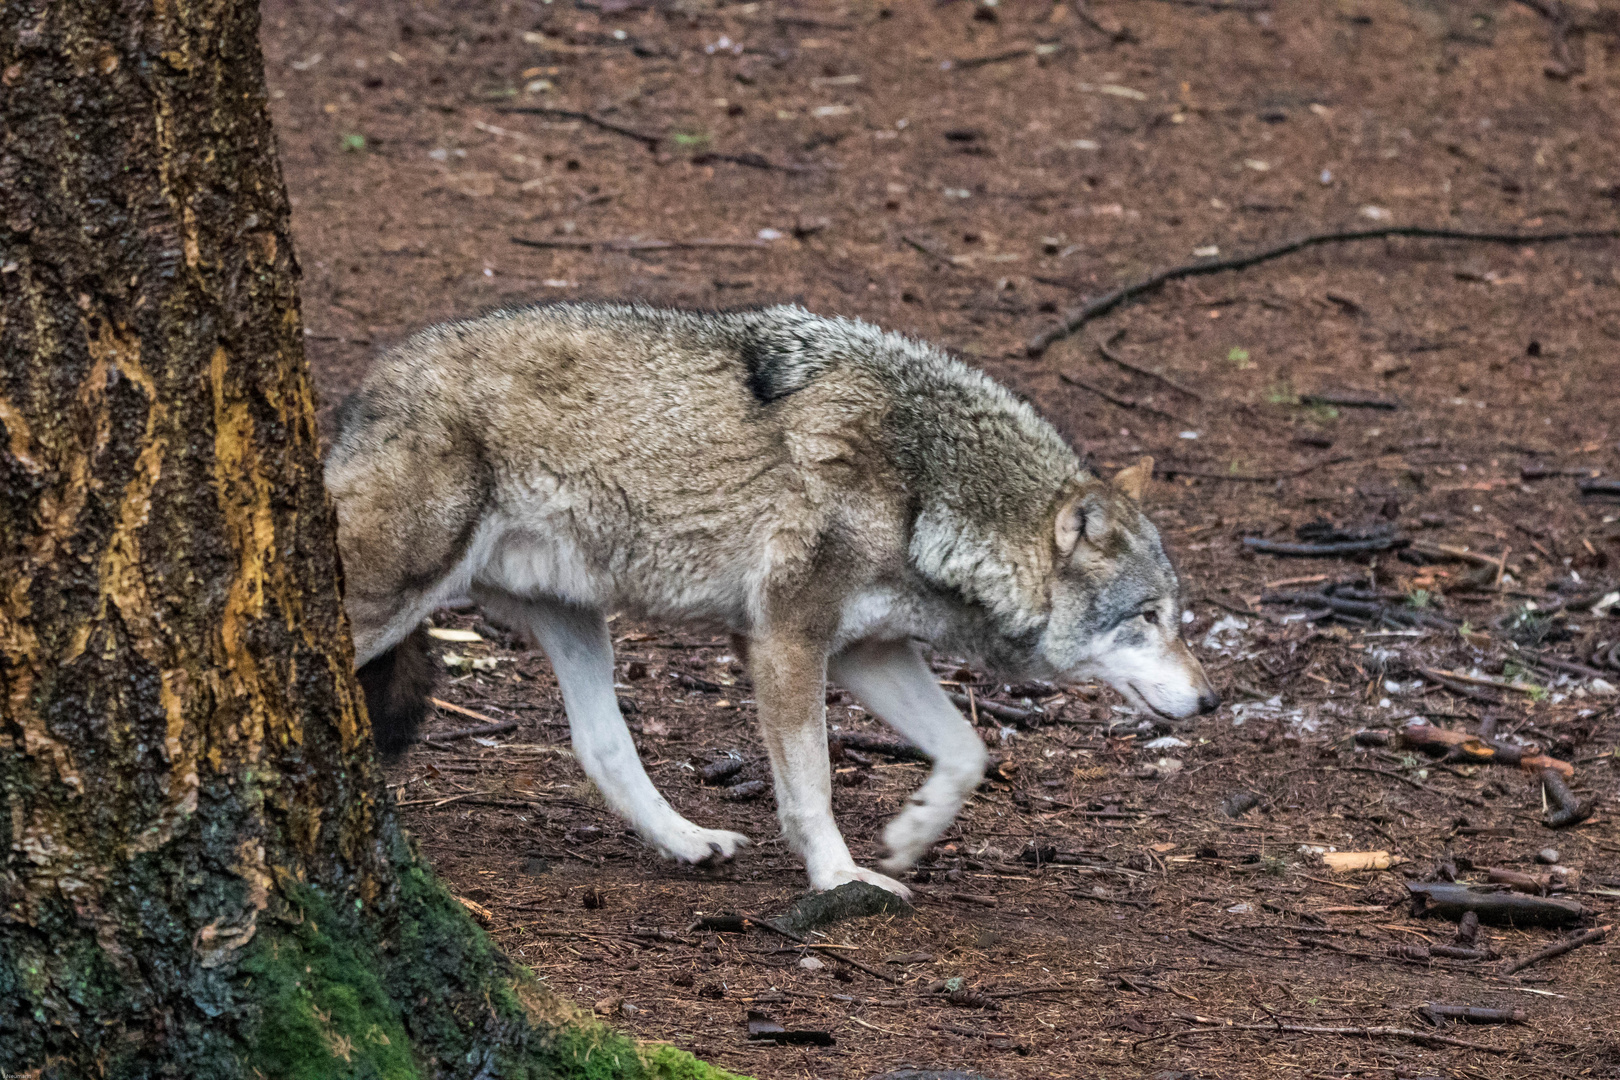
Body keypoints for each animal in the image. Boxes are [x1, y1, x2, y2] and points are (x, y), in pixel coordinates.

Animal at [325, 302, 1218, 893]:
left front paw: (907, 838)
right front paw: (843, 879)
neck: (926, 487)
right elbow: (813, 784)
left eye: (1178, 618)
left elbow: (968, 751)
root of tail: (364, 385)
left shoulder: (867, 650)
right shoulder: (784, 640)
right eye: (1147, 618)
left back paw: (688, 843)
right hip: (388, 601)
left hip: (577, 622)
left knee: (602, 747)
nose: (1211, 701)